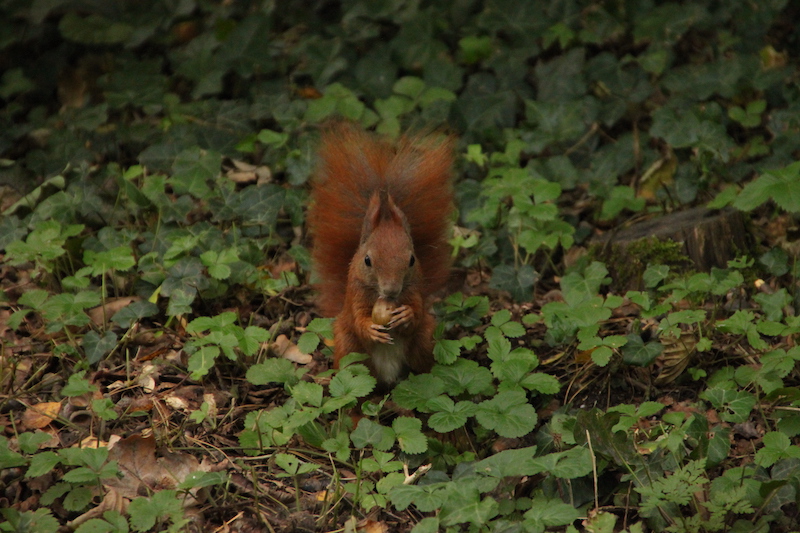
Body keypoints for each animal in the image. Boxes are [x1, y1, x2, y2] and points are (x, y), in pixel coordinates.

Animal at [308, 122, 456, 386]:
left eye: (412, 260)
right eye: (367, 260)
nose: (391, 290)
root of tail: (388, 376)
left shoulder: (414, 290)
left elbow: (416, 313)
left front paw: (406, 315)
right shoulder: (355, 293)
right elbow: (359, 319)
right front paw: (370, 328)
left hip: (424, 341)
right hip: (349, 347)